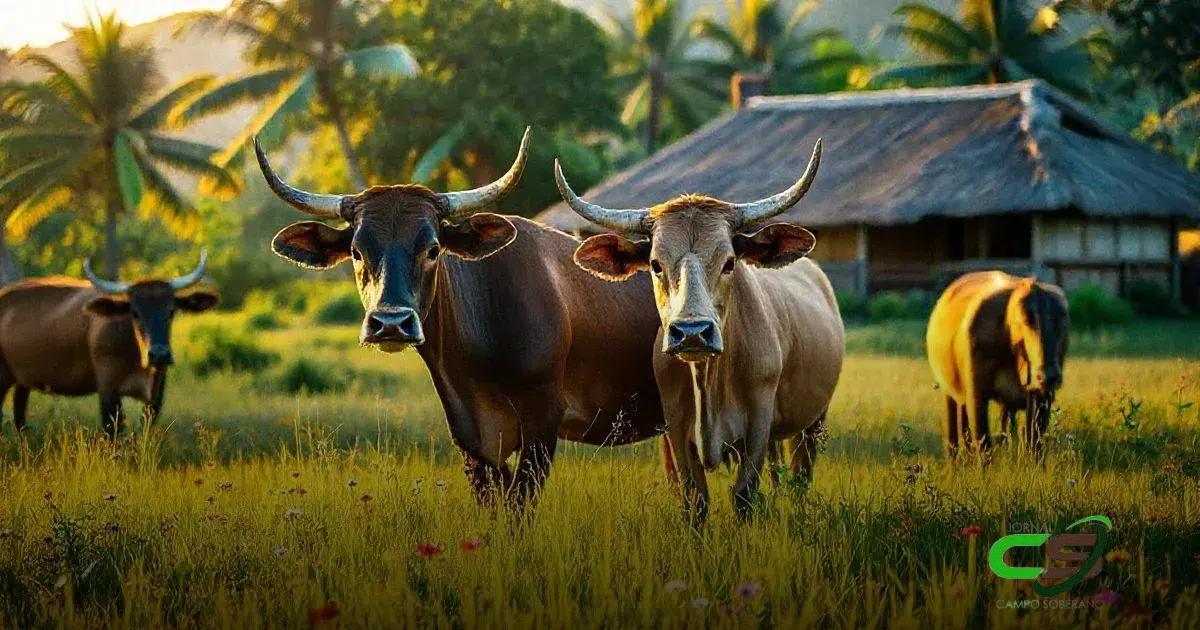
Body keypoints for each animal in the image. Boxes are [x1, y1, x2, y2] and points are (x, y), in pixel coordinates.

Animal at [0, 253, 218, 434]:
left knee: (19, 417)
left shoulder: (156, 394)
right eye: (135, 312)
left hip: (23, 381)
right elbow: (113, 430)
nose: (159, 353)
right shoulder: (108, 389)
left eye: (171, 311)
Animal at [554, 141, 844, 520]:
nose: (692, 331)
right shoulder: (677, 431)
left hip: (813, 421)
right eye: (655, 264)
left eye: (729, 262)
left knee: (799, 477)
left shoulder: (757, 428)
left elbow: (744, 496)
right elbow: (695, 498)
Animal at [926, 267, 1070, 453]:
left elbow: (1034, 443)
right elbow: (983, 442)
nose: (1048, 376)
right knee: (954, 437)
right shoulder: (977, 393)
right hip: (949, 391)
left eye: (1063, 319)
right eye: (1026, 320)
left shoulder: (1042, 397)